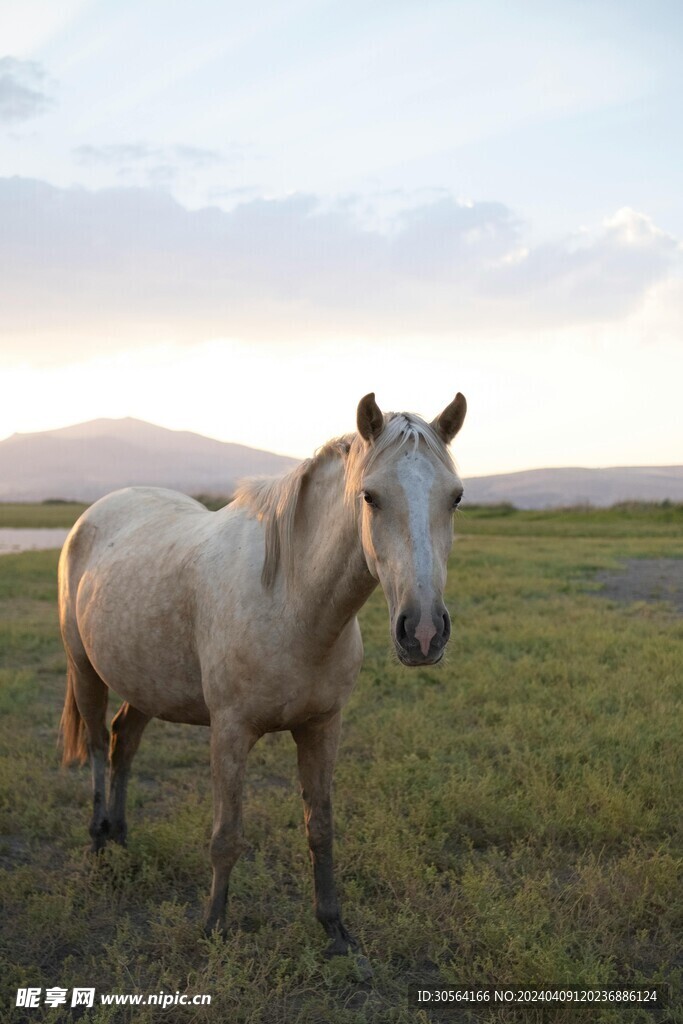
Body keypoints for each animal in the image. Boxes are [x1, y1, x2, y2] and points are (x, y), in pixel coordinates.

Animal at [60, 389, 464, 950]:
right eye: (370, 497)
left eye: (456, 497)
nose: (423, 631)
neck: (291, 602)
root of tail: (96, 512)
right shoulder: (230, 731)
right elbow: (226, 837)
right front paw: (213, 927)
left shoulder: (322, 727)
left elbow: (320, 827)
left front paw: (334, 928)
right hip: (85, 669)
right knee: (99, 745)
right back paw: (99, 839)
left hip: (146, 685)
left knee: (124, 742)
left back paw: (119, 835)